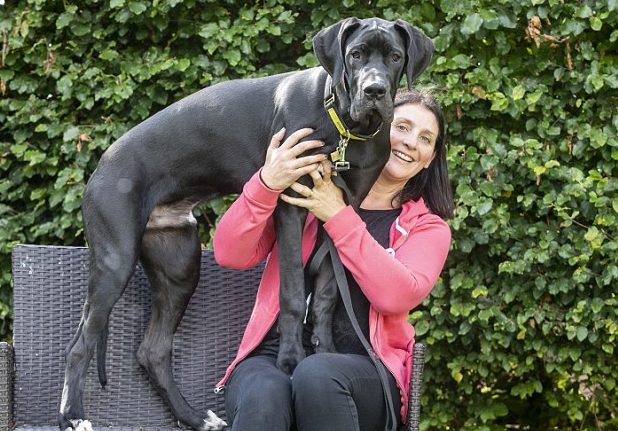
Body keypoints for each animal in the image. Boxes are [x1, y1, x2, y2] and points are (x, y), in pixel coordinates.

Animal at [59, 17, 433, 431]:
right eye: (355, 55)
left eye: (395, 56)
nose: (374, 90)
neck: (344, 127)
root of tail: (101, 164)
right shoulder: (291, 203)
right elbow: (292, 293)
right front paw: (291, 360)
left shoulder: (341, 212)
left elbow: (325, 294)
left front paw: (326, 350)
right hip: (116, 259)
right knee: (78, 346)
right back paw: (73, 417)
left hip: (179, 266)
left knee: (152, 351)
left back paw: (195, 418)